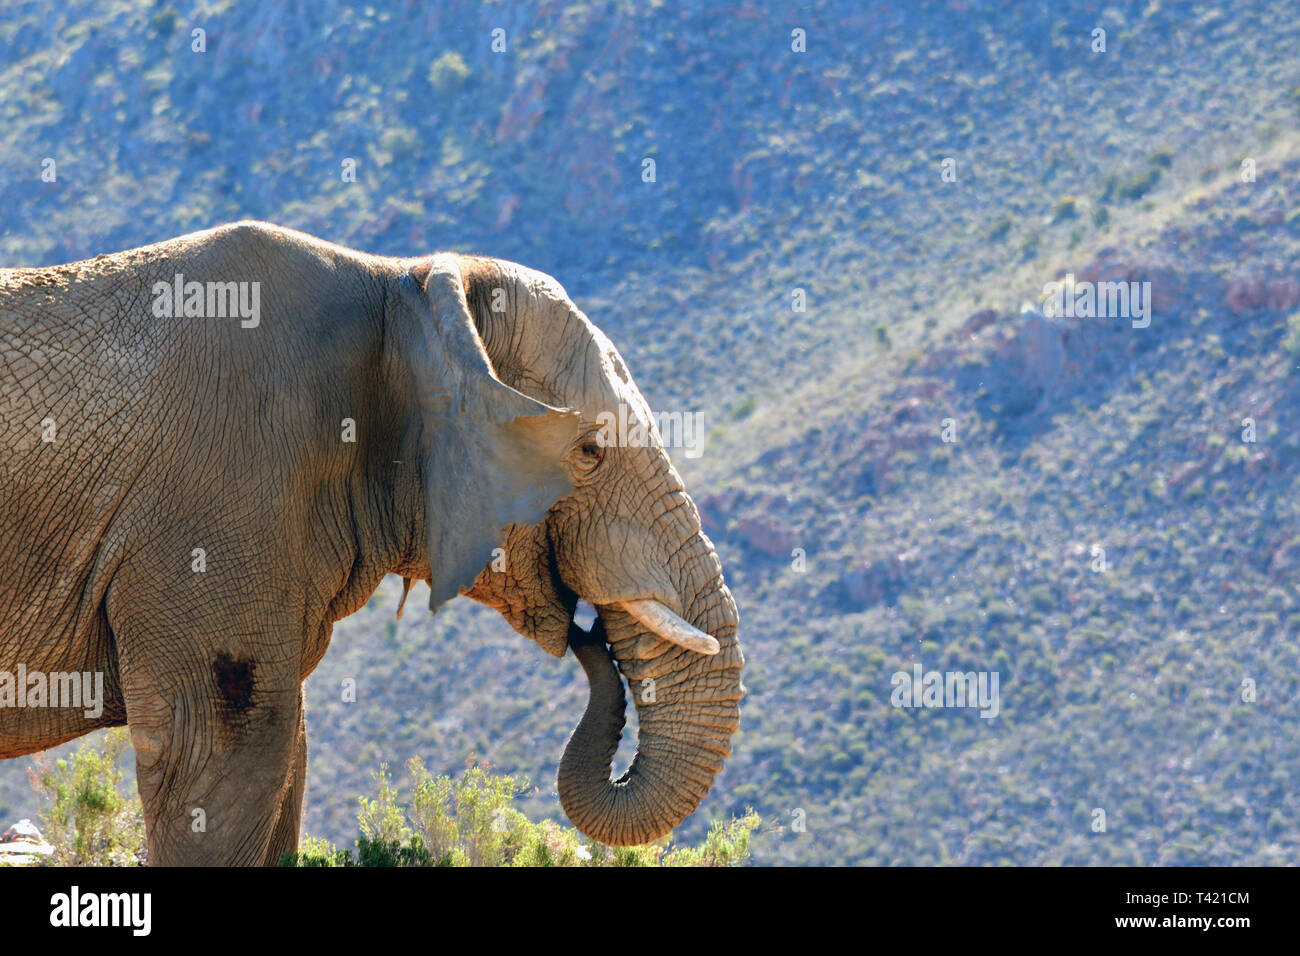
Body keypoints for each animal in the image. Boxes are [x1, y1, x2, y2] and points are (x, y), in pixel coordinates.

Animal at [0, 223, 748, 868]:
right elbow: (219, 748)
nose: (586, 628)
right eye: (589, 452)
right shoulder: (210, 511)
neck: (400, 286)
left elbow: (284, 754)